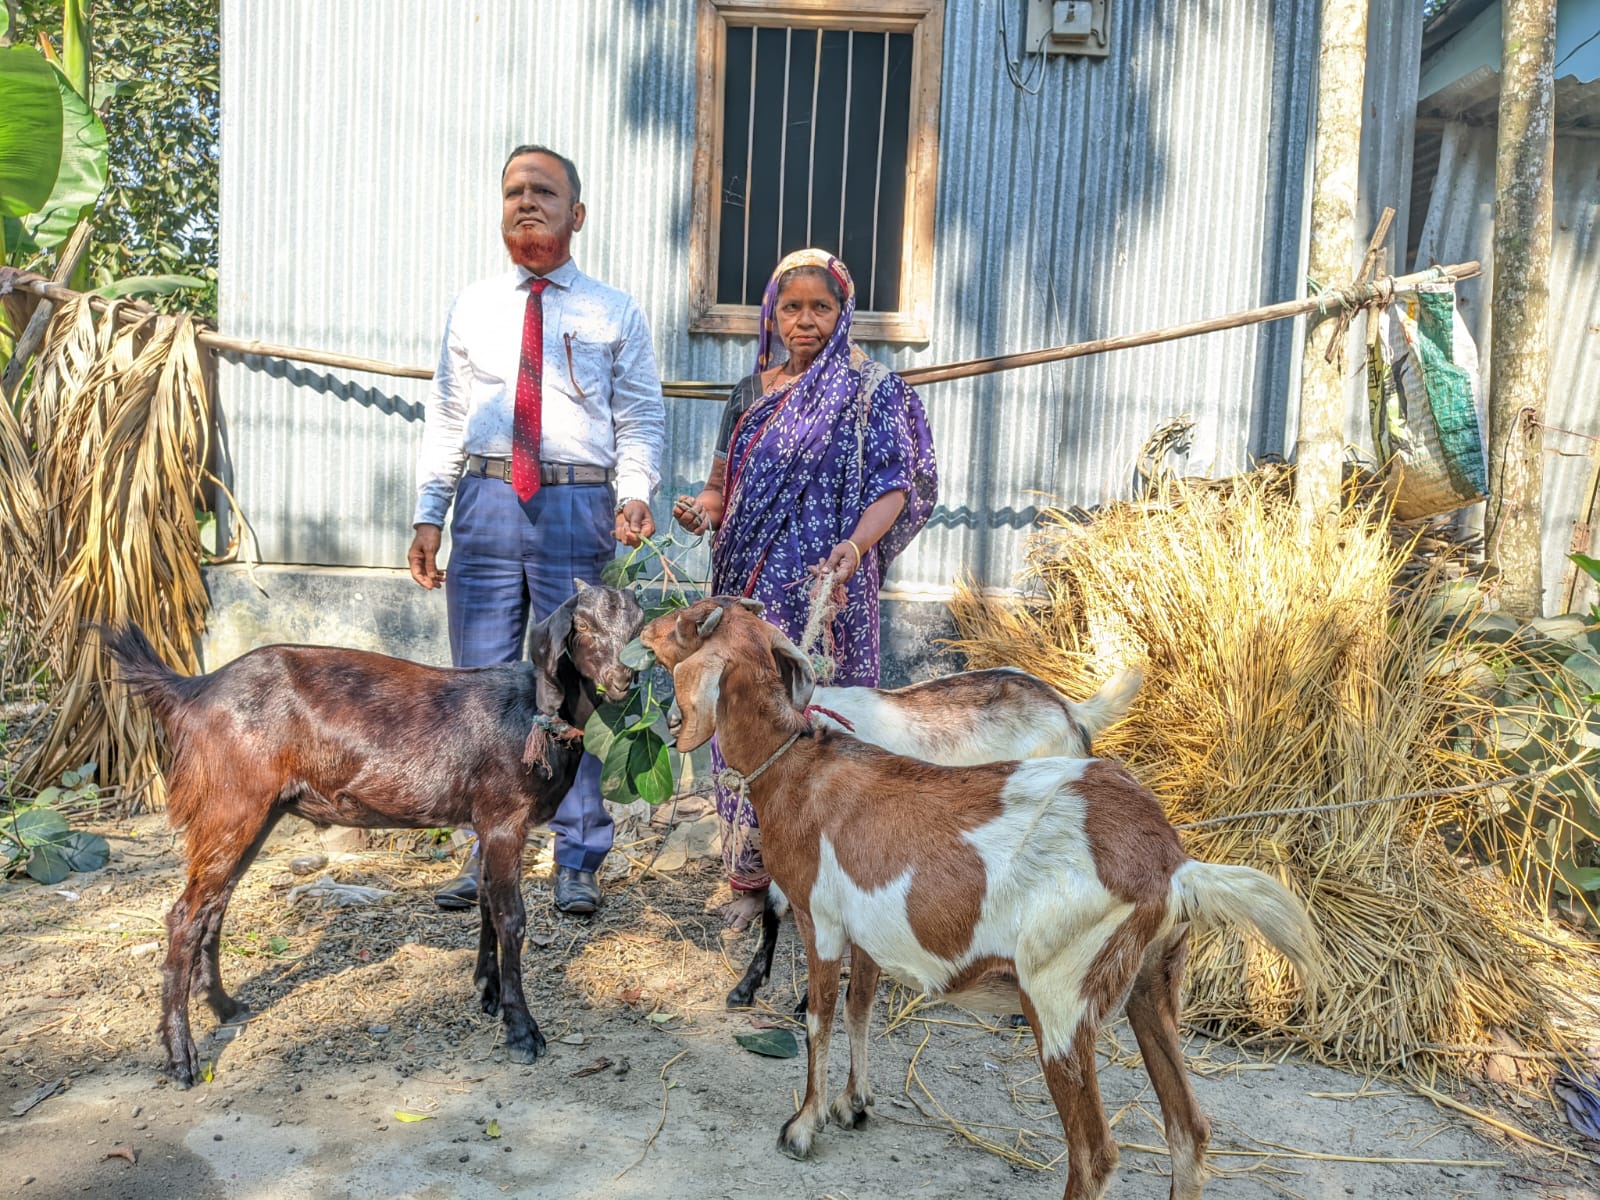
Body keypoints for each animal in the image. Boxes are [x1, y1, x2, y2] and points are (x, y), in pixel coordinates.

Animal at [103, 582, 643, 1088]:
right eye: (583, 627)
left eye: (638, 626)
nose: (624, 678)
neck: (531, 712)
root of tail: (195, 689)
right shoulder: (504, 819)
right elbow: (511, 918)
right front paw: (522, 1030)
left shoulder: (487, 824)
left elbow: (488, 905)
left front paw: (486, 993)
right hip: (232, 803)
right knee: (185, 916)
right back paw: (181, 1058)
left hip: (255, 811)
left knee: (215, 906)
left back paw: (225, 1006)